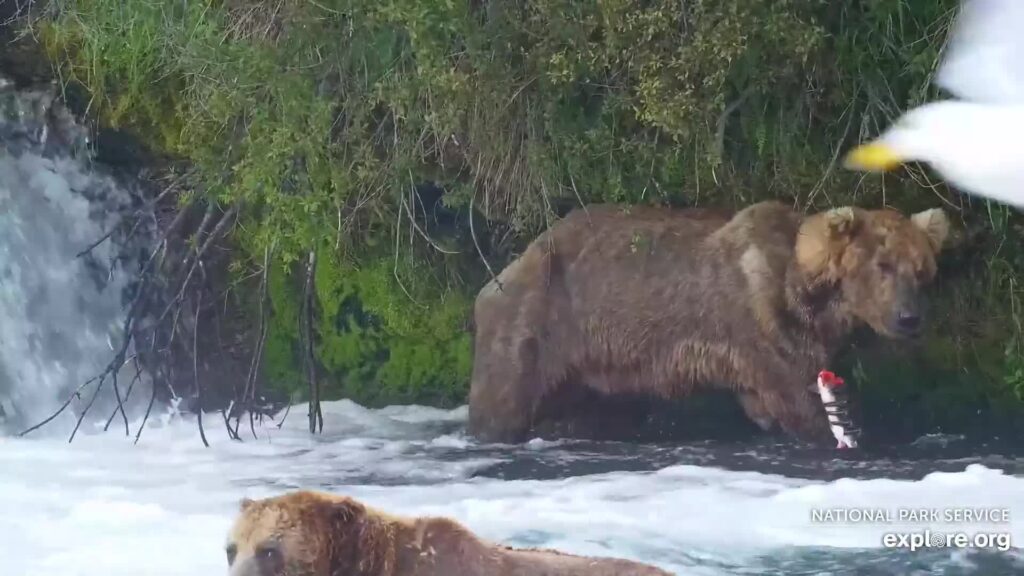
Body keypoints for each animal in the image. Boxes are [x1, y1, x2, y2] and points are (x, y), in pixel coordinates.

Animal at [468, 199, 946, 440]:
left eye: (921, 270)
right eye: (883, 265)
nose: (910, 318)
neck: (808, 297)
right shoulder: (767, 335)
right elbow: (802, 407)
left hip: (589, 368)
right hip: (536, 321)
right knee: (502, 399)